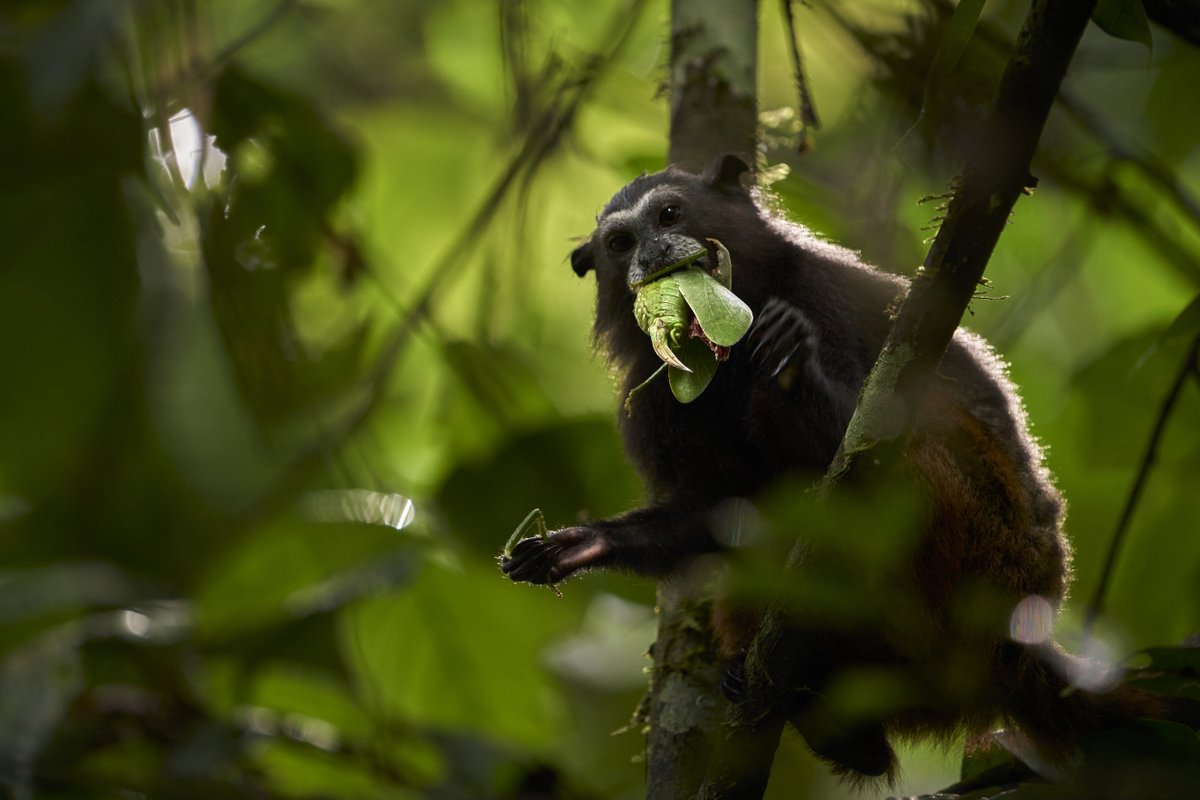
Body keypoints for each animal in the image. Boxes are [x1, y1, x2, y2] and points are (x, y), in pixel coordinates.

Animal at [500, 155, 1167, 781]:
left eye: (668, 216)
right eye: (621, 244)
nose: (652, 252)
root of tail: (1016, 643)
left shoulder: (832, 297)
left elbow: (876, 433)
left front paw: (792, 378)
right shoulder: (654, 393)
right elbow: (717, 511)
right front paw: (581, 545)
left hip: (985, 547)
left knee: (928, 445)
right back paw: (836, 728)